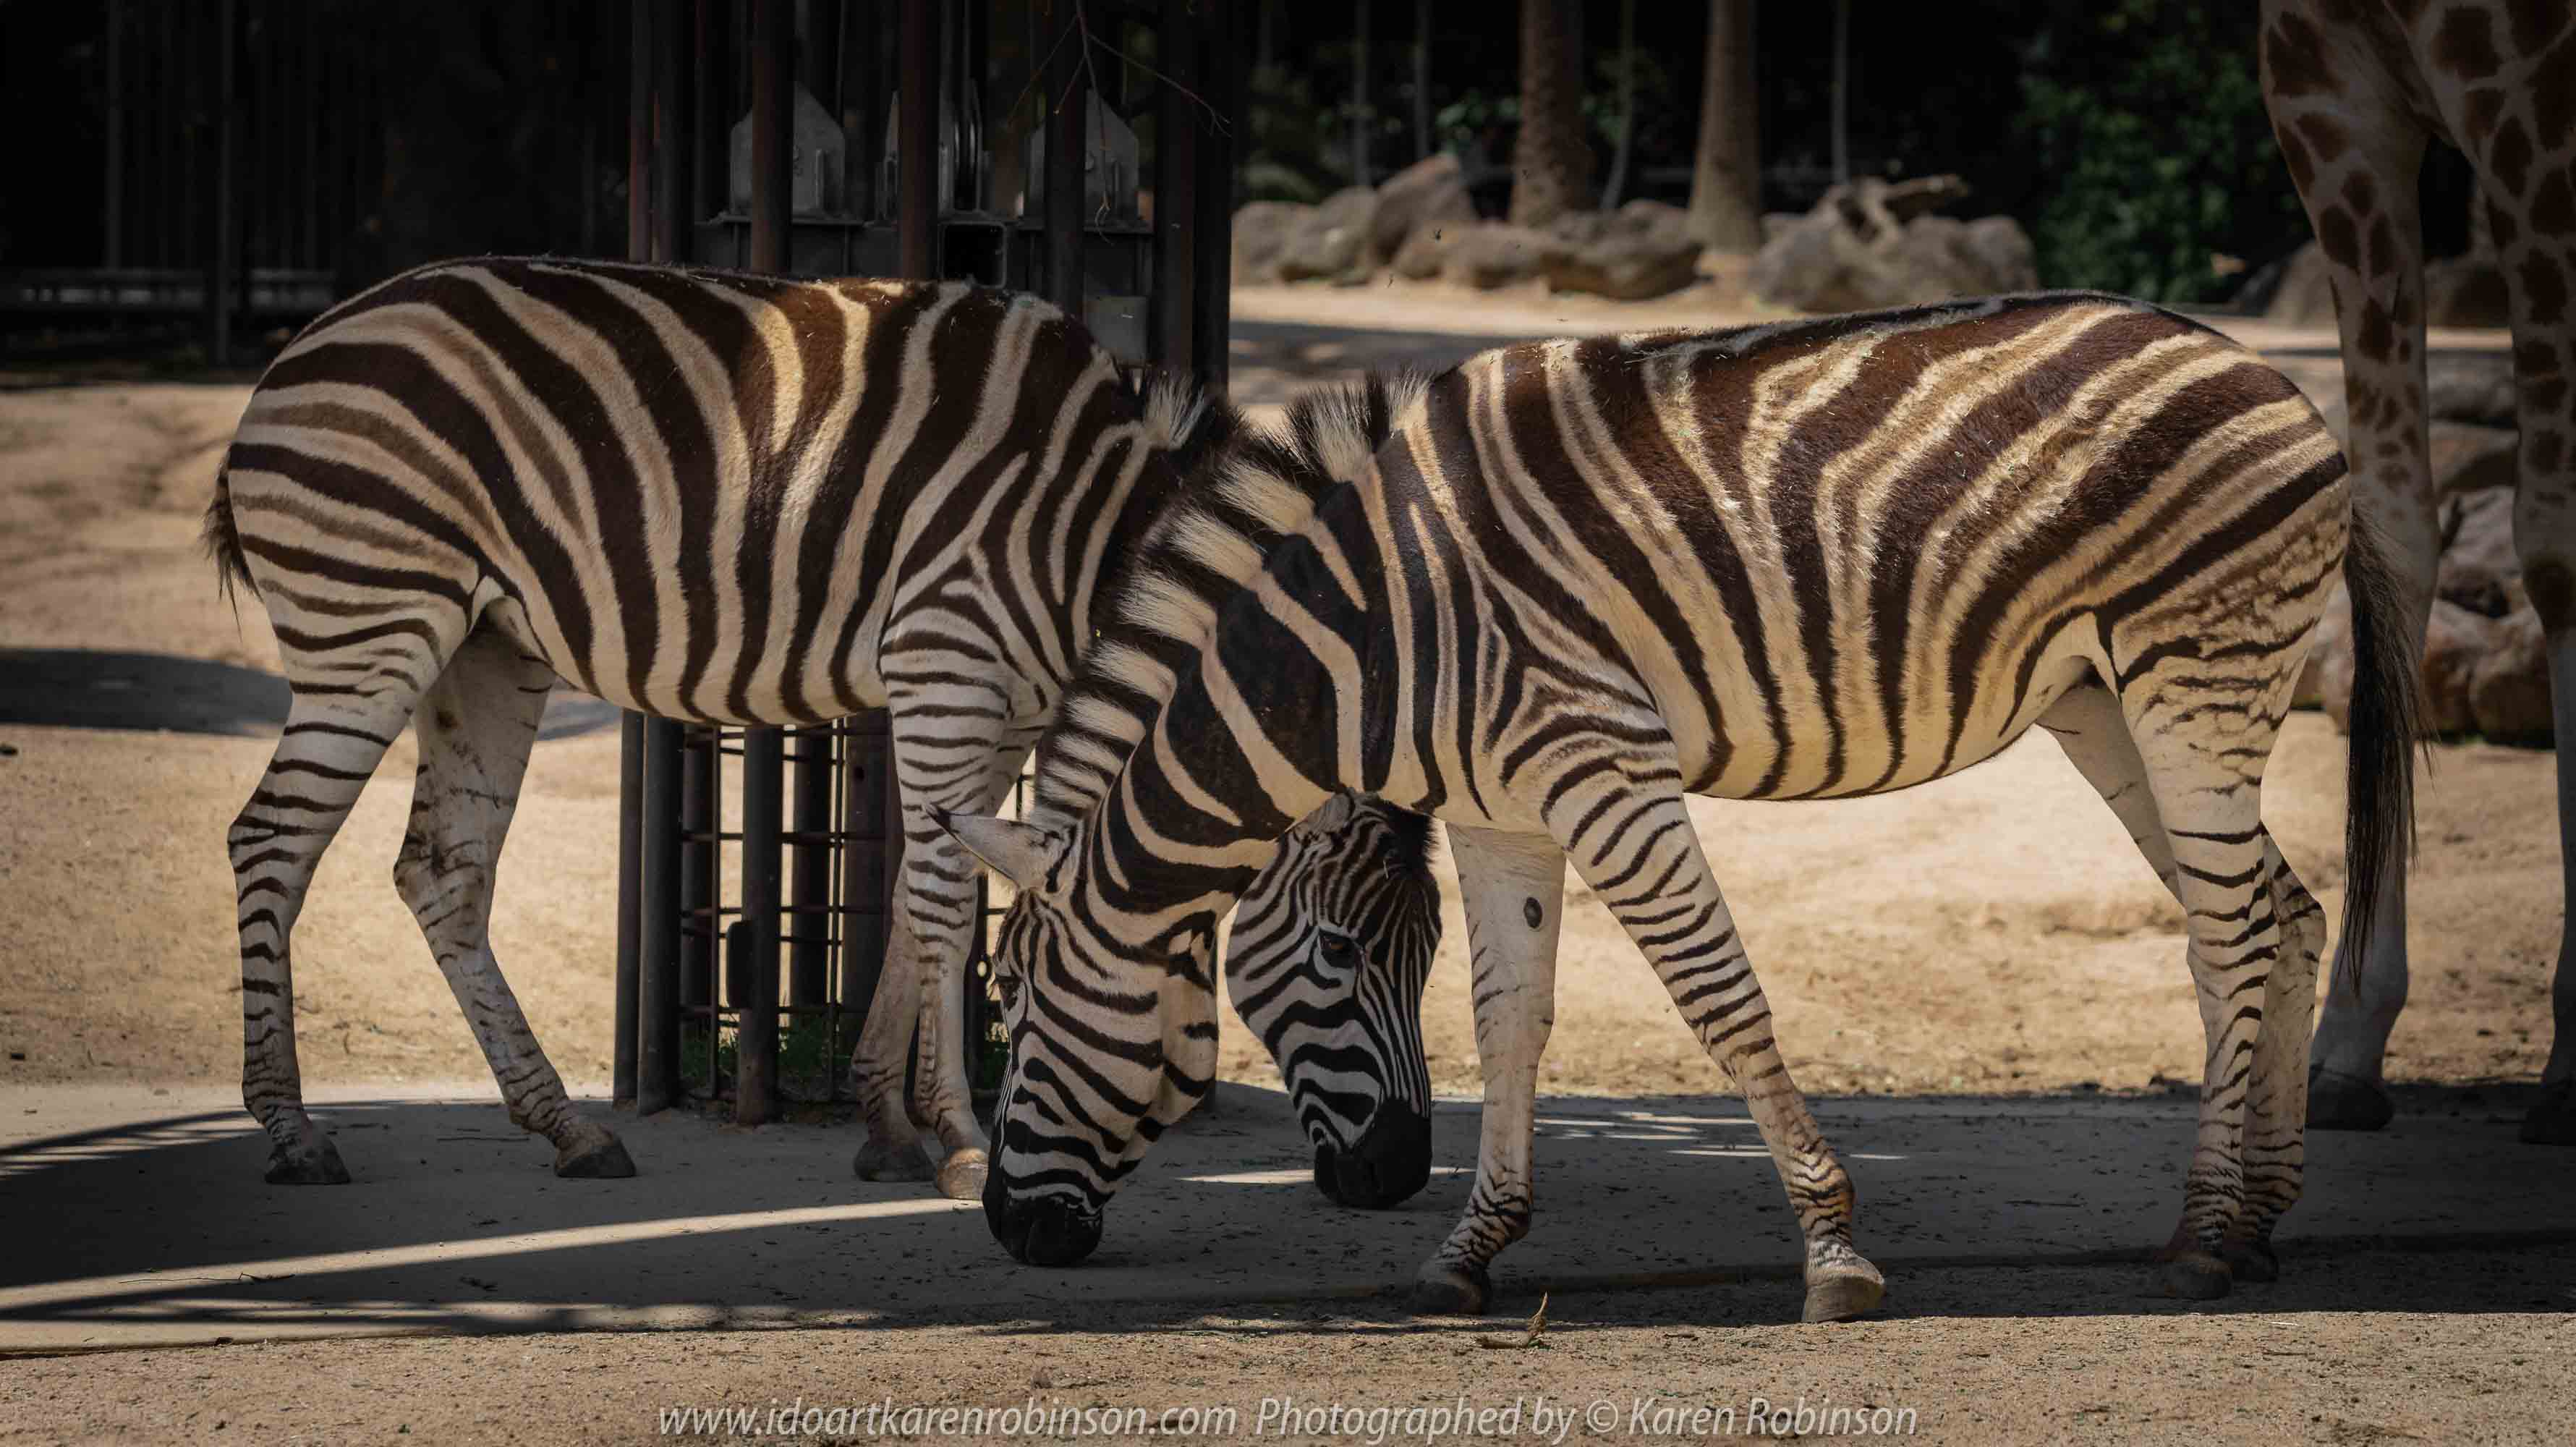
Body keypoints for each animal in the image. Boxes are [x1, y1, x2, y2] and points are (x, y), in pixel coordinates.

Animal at [204, 255, 1440, 1203]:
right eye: (1339, 951)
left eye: (1426, 952)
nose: (1398, 1175)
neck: (1088, 537)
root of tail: (308, 340)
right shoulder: (947, 665)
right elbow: (945, 905)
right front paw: (961, 1141)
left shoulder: (996, 709)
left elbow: (917, 891)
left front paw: (887, 1123)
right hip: (370, 626)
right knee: (269, 842)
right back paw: (292, 1132)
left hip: (487, 650)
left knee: (444, 872)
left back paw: (567, 1127)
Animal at [941, 292, 2423, 1323]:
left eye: (1017, 1000)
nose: (1009, 1229)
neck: (1372, 634)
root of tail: (2270, 376)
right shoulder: (1500, 810)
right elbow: (1510, 1021)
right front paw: (1466, 1254)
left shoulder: (1602, 766)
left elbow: (1720, 998)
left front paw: (1832, 1255)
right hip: (2105, 701)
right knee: (2281, 915)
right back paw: (2256, 1221)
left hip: (2195, 672)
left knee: (2234, 934)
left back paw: (2209, 1241)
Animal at [2259, 0, 2576, 1142]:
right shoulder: (2326, 86)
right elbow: (2388, 535)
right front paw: (2346, 1038)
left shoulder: (2539, 106)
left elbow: (2556, 544)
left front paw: (2570, 1060)